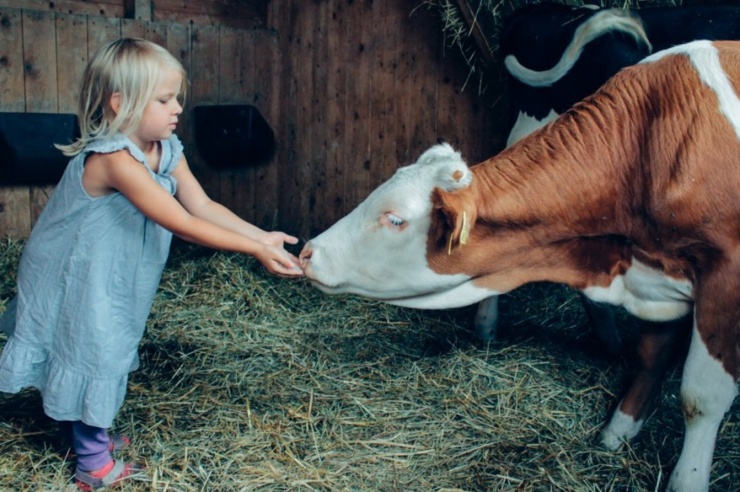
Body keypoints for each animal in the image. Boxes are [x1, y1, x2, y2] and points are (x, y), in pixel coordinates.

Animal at [300, 41, 740, 492]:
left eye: (395, 219)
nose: (309, 251)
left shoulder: (724, 277)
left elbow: (701, 397)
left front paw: (687, 479)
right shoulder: (656, 270)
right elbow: (652, 354)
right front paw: (618, 432)